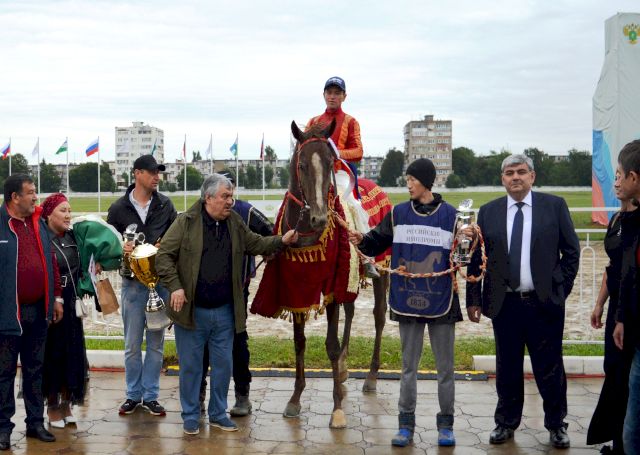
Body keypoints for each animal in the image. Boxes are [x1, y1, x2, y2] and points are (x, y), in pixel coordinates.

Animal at [252, 119, 392, 430]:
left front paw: (337, 409)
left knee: (378, 316)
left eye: (330, 163)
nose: (319, 218)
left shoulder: (331, 289)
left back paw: (371, 377)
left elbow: (331, 344)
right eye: (302, 164)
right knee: (351, 312)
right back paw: (343, 370)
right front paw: (295, 399)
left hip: (383, 270)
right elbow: (299, 342)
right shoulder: (295, 288)